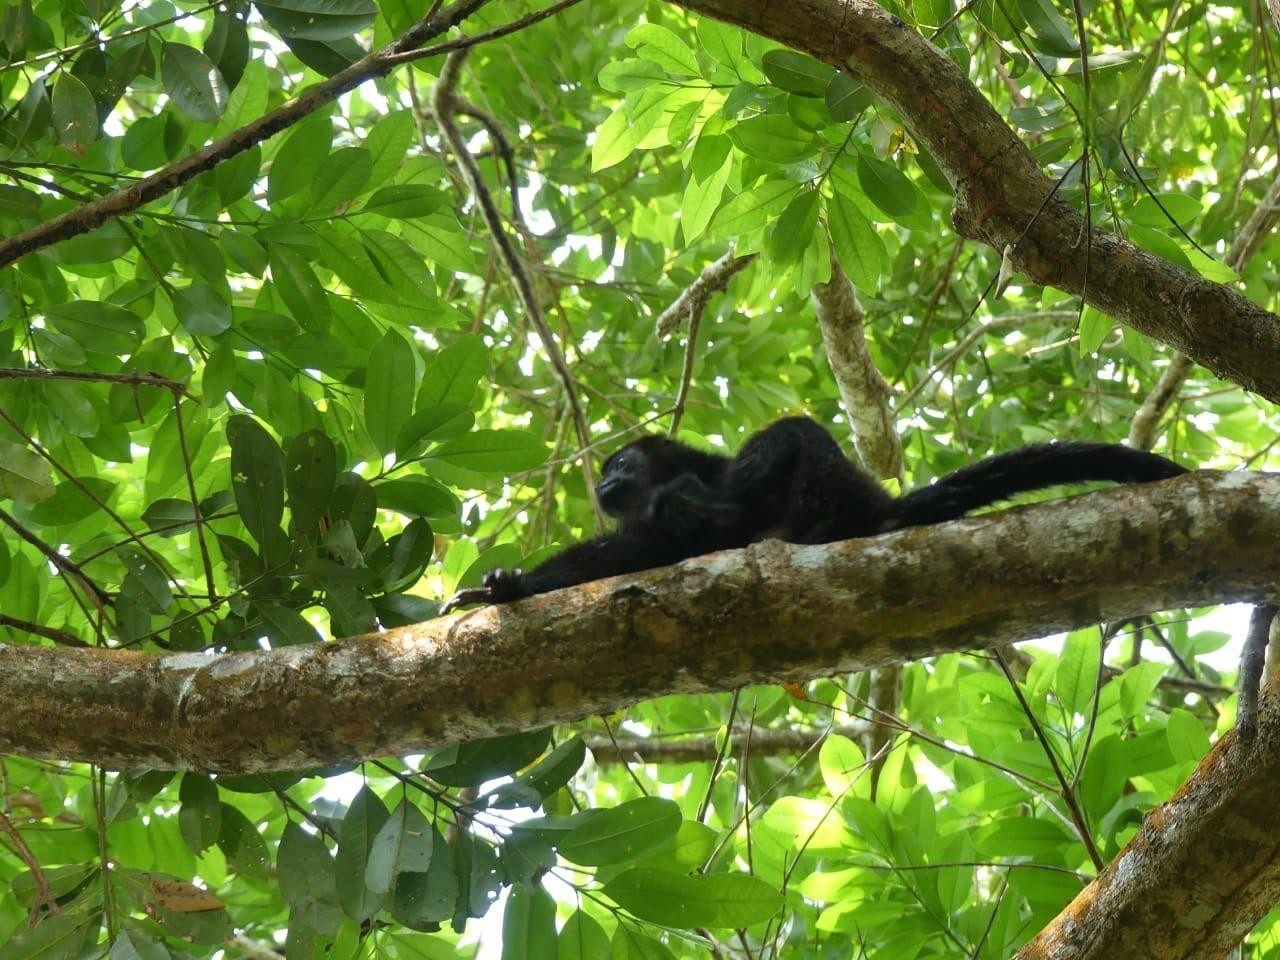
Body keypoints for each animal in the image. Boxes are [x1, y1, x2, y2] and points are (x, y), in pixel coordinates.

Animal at [442, 417, 1187, 611]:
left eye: (618, 462)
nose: (604, 481)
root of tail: (875, 507)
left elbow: (776, 442)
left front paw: (701, 499)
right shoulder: (642, 536)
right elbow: (615, 558)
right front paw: (503, 587)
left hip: (833, 488)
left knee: (794, 435)